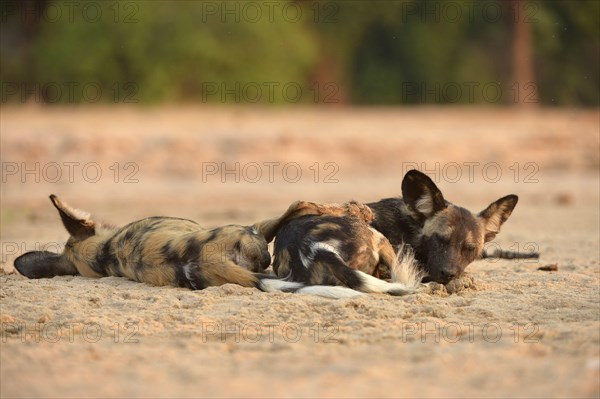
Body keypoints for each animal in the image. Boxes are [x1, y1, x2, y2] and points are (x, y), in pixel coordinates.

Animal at [15, 195, 376, 296]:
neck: (105, 252)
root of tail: (206, 260)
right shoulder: (260, 231)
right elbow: (300, 207)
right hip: (254, 232)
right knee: (299, 204)